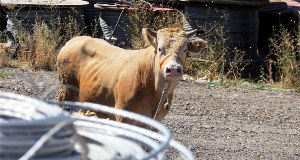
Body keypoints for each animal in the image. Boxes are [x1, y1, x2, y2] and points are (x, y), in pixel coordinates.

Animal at [56, 27, 206, 124]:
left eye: (185, 49)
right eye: (159, 49)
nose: (173, 69)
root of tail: (75, 39)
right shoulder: (123, 116)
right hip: (67, 90)